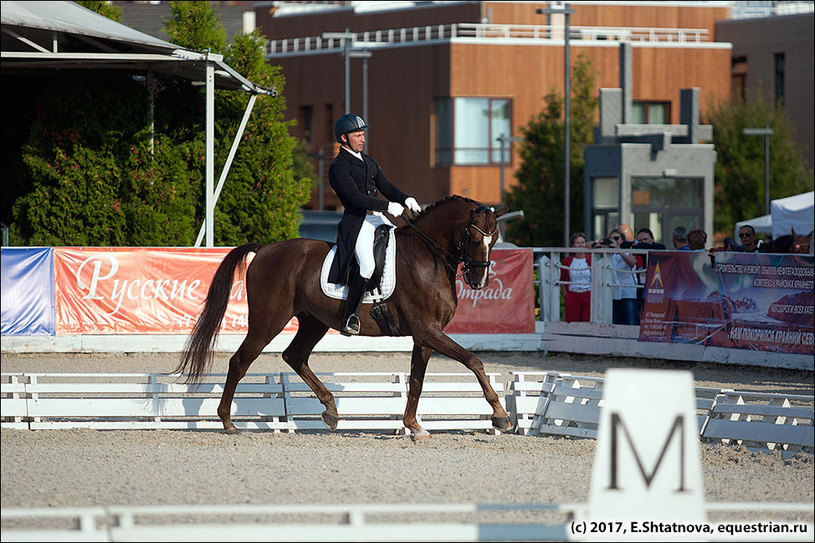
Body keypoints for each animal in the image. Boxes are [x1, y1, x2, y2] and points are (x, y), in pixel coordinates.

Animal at [177, 197, 510, 442]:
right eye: (474, 239)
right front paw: (500, 415)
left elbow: (417, 380)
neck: (428, 257)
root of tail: (265, 249)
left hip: (314, 322)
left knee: (294, 356)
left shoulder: (426, 334)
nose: (479, 281)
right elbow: (473, 360)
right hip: (268, 320)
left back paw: (331, 410)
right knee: (240, 361)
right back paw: (228, 422)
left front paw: (414, 426)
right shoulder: (427, 331)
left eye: (493, 240)